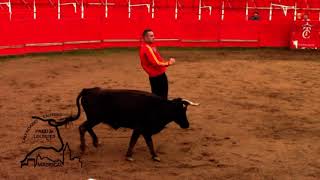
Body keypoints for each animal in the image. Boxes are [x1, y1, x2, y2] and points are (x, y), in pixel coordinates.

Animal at [49, 87, 199, 162]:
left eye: (185, 110)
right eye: (179, 110)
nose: (186, 125)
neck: (158, 107)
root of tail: (89, 90)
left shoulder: (145, 130)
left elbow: (149, 143)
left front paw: (154, 156)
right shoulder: (140, 128)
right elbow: (134, 141)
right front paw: (129, 156)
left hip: (95, 118)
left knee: (87, 128)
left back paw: (96, 142)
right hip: (95, 118)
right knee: (82, 127)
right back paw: (83, 147)